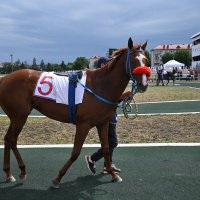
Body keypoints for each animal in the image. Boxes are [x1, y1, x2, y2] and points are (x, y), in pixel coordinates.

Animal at [0, 37, 150, 188]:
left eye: (146, 60)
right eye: (133, 61)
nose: (143, 85)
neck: (100, 86)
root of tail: (4, 79)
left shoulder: (103, 123)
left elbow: (106, 148)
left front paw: (113, 174)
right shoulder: (83, 124)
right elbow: (76, 152)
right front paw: (58, 178)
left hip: (16, 117)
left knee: (7, 139)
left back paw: (9, 173)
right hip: (20, 116)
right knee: (12, 140)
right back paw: (21, 171)